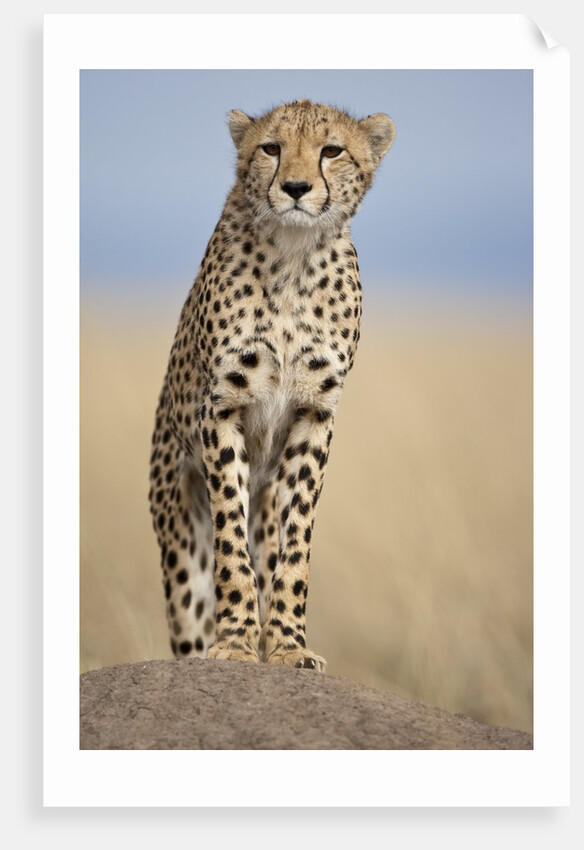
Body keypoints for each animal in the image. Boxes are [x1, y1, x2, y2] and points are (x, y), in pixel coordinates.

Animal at [148, 98, 395, 671]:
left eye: (332, 151)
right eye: (271, 148)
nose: (297, 187)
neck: (294, 255)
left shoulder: (315, 414)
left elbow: (297, 542)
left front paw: (287, 644)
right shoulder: (222, 408)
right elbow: (230, 543)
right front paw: (237, 644)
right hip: (178, 529)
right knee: (190, 609)